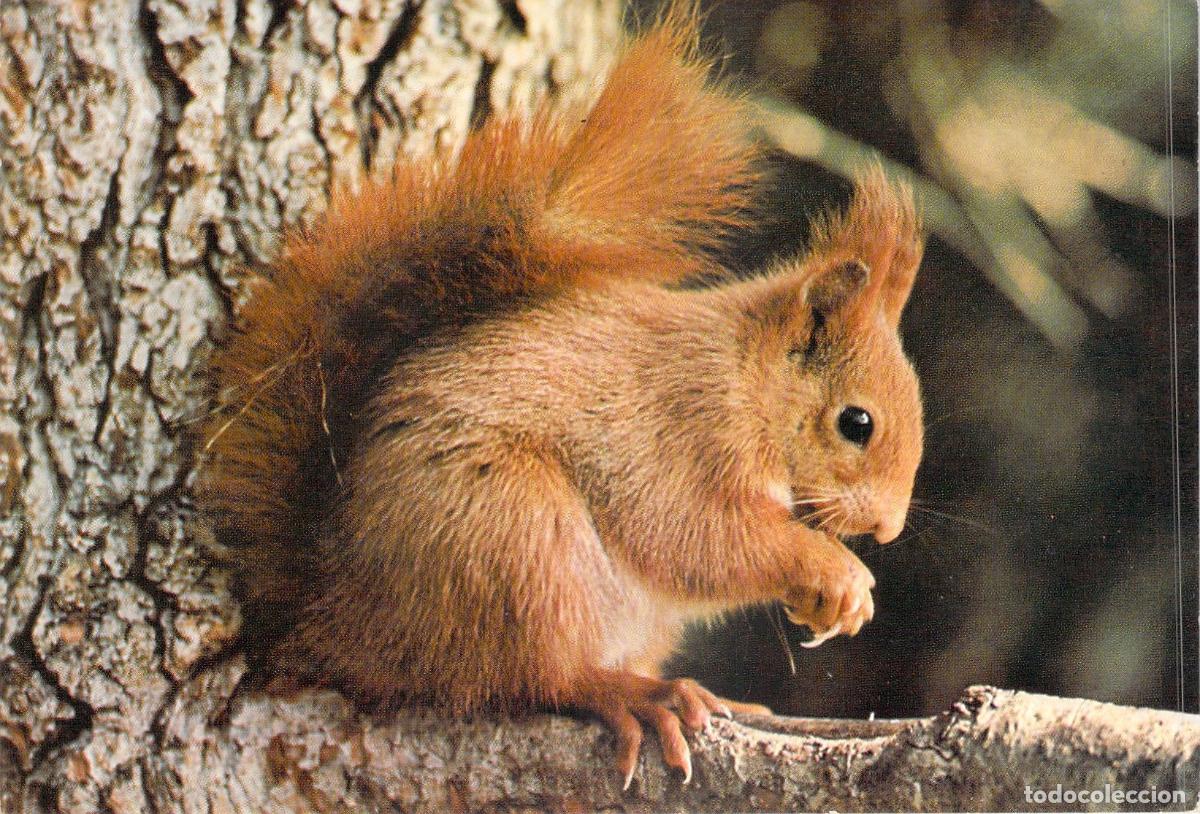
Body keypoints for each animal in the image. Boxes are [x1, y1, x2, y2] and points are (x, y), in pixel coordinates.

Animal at [197, 6, 924, 789]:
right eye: (857, 422)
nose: (887, 531)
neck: (746, 381)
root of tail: (335, 618)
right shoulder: (682, 435)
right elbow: (700, 540)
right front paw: (837, 574)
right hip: (510, 540)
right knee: (537, 676)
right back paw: (632, 695)